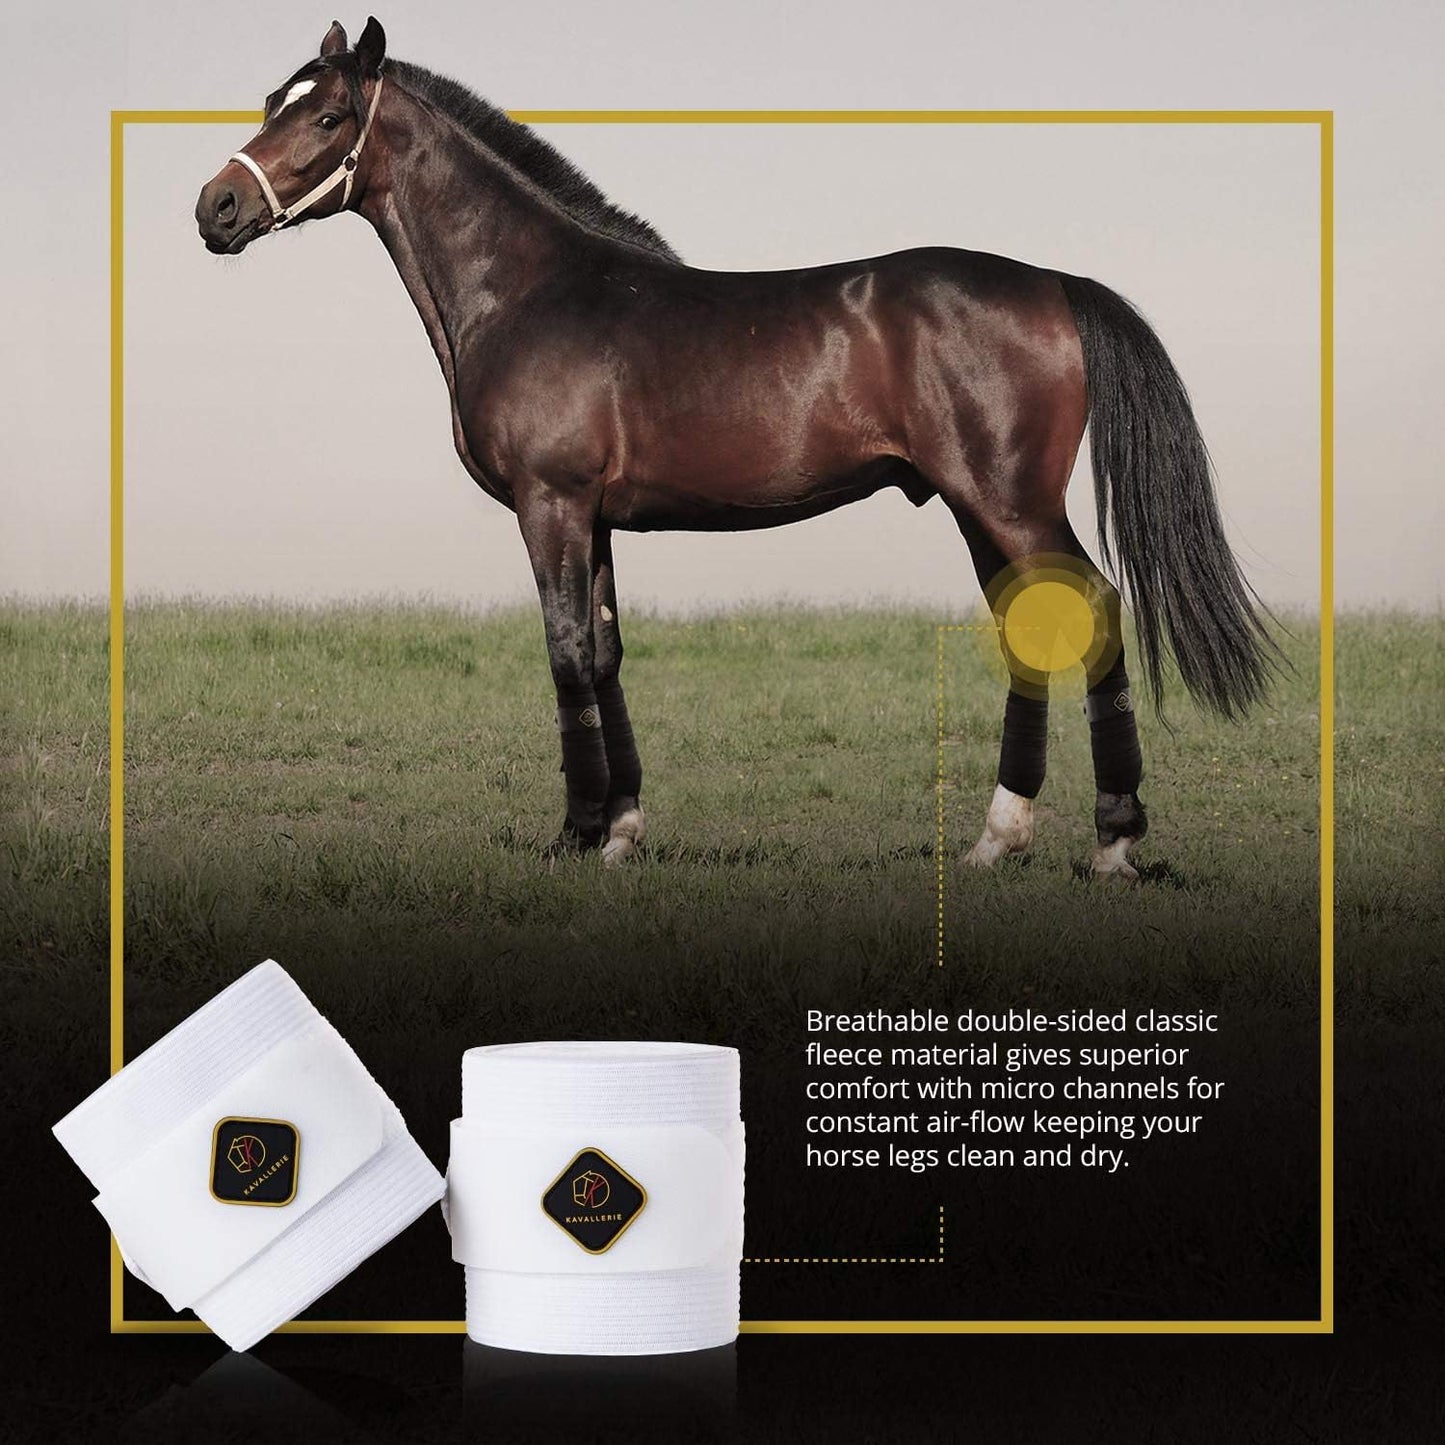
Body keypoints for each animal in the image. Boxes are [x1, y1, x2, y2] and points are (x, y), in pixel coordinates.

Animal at [196, 18, 1277, 879]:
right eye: (272, 102)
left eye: (329, 118)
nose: (215, 208)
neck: (531, 290)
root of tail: (1053, 283)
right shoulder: (593, 518)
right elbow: (605, 651)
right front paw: (621, 830)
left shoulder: (551, 503)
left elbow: (564, 652)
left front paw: (574, 835)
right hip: (978, 507)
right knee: (1029, 628)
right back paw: (993, 839)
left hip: (1009, 501)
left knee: (1091, 612)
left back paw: (1112, 840)